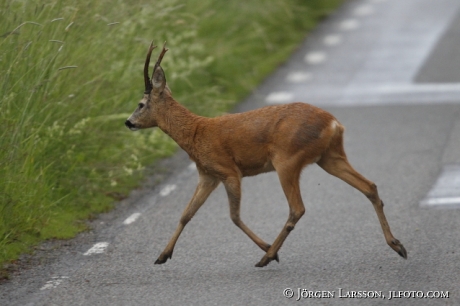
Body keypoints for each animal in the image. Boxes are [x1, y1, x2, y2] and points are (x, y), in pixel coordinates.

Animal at [125, 41, 406, 266]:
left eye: (140, 104)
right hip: (329, 157)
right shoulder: (207, 175)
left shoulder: (228, 170)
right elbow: (186, 214)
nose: (128, 122)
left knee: (297, 208)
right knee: (369, 186)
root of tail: (334, 123)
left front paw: (268, 248)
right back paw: (397, 245)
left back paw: (267, 256)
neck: (195, 134)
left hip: (287, 159)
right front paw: (162, 255)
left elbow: (234, 216)